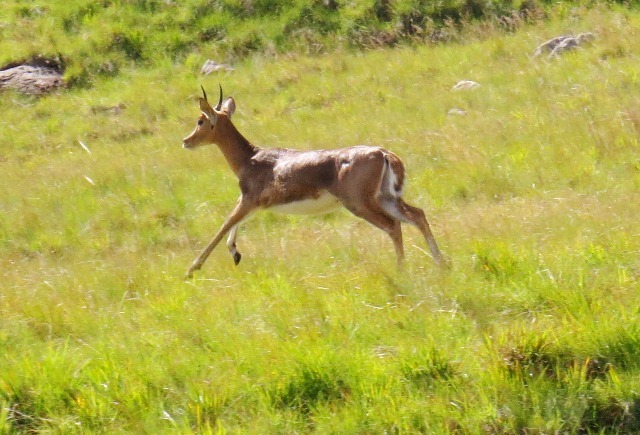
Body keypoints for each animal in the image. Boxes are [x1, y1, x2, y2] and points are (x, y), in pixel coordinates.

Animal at [180, 85, 440, 280]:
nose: (186, 141)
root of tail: (384, 153)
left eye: (200, 121)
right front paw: (235, 254)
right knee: (417, 215)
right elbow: (234, 223)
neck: (250, 157)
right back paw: (442, 263)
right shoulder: (254, 204)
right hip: (386, 198)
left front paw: (191, 270)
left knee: (393, 226)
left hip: (361, 204)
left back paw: (402, 270)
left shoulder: (249, 200)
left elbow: (225, 224)